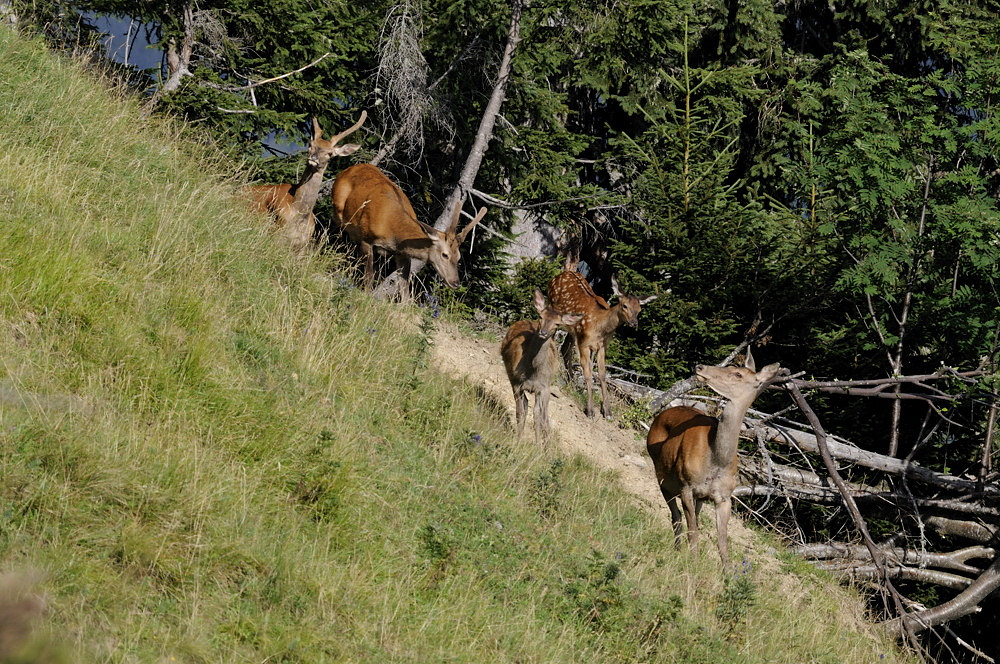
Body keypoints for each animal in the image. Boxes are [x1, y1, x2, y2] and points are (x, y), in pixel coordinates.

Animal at [247, 111, 368, 252]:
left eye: (330, 154)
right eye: (311, 145)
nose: (313, 158)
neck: (299, 214)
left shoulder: (303, 245)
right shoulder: (275, 234)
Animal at [330, 165, 486, 300]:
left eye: (458, 257)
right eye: (445, 255)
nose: (455, 282)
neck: (392, 232)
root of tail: (346, 170)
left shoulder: (402, 254)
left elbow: (405, 291)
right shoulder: (366, 238)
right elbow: (369, 277)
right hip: (338, 213)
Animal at [500, 290, 584, 446]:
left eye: (557, 323)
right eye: (541, 316)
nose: (543, 332)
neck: (532, 372)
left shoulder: (543, 388)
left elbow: (538, 416)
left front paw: (538, 446)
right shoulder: (517, 383)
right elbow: (521, 412)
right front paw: (518, 441)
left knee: (545, 416)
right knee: (526, 406)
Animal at [548, 268, 656, 416]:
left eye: (639, 309)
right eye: (624, 306)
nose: (634, 323)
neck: (600, 327)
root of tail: (563, 273)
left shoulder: (602, 346)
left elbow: (602, 374)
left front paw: (608, 411)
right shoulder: (584, 343)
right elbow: (588, 373)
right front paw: (590, 410)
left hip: (573, 330)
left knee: (565, 348)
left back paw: (571, 383)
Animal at [644, 356, 784, 568]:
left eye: (737, 374)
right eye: (732, 367)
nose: (700, 366)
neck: (716, 461)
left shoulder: (724, 496)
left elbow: (722, 542)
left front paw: (727, 572)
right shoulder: (686, 485)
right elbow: (693, 531)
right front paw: (693, 564)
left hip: (698, 495)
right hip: (663, 478)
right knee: (676, 517)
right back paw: (677, 550)